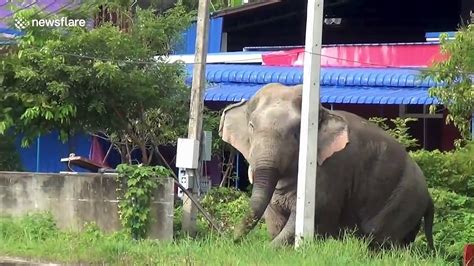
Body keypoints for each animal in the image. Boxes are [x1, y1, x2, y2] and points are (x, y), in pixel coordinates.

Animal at [218, 82, 434, 249]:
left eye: (297, 131)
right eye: (252, 126)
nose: (231, 242)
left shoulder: (330, 170)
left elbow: (315, 212)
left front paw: (275, 249)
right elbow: (273, 215)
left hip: (402, 200)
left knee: (380, 239)